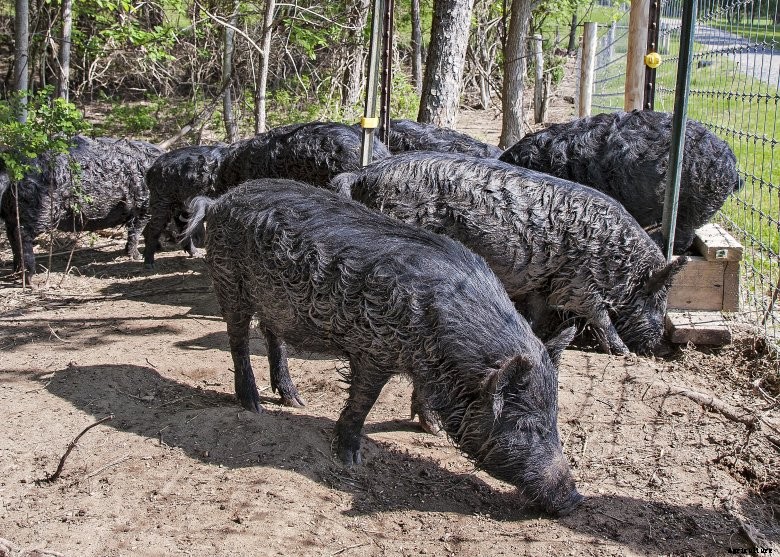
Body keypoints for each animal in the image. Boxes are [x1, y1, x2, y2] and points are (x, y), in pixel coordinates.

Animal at [0, 135, 162, 279]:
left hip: (11, 215)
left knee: (11, 235)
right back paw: (29, 277)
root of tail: (12, 172)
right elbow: (137, 231)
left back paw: (16, 272)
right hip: (39, 210)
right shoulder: (143, 205)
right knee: (22, 235)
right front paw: (137, 256)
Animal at [184, 178, 582, 516]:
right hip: (229, 281)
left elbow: (419, 394)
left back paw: (295, 401)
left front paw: (431, 429)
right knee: (238, 341)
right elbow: (364, 400)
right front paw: (350, 459)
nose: (574, 499)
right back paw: (253, 405)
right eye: (527, 426)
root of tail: (217, 201)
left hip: (273, 302)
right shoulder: (374, 350)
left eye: (555, 419)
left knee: (272, 336)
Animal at [335, 152, 687, 356]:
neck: (619, 262)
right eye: (656, 297)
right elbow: (600, 317)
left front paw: (536, 334)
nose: (656, 346)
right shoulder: (579, 284)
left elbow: (538, 312)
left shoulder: (546, 282)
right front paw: (623, 352)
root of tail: (362, 174)